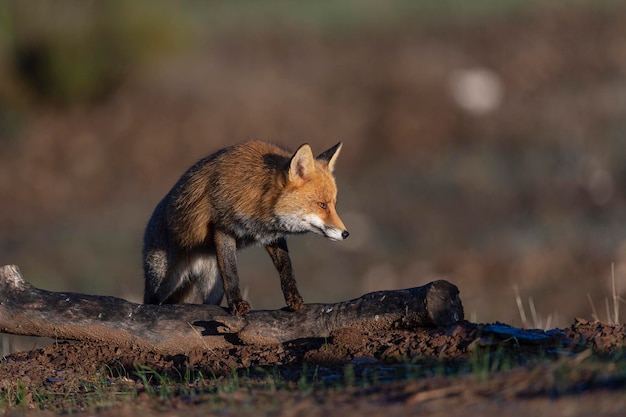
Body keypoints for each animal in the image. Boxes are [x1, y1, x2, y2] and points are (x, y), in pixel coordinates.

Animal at [142, 140, 348, 312]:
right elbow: (231, 272)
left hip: (213, 287)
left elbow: (286, 268)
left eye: (334, 205)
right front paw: (236, 303)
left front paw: (294, 299)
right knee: (150, 301)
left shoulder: (270, 235)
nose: (346, 234)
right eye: (322, 205)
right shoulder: (223, 226)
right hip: (161, 283)